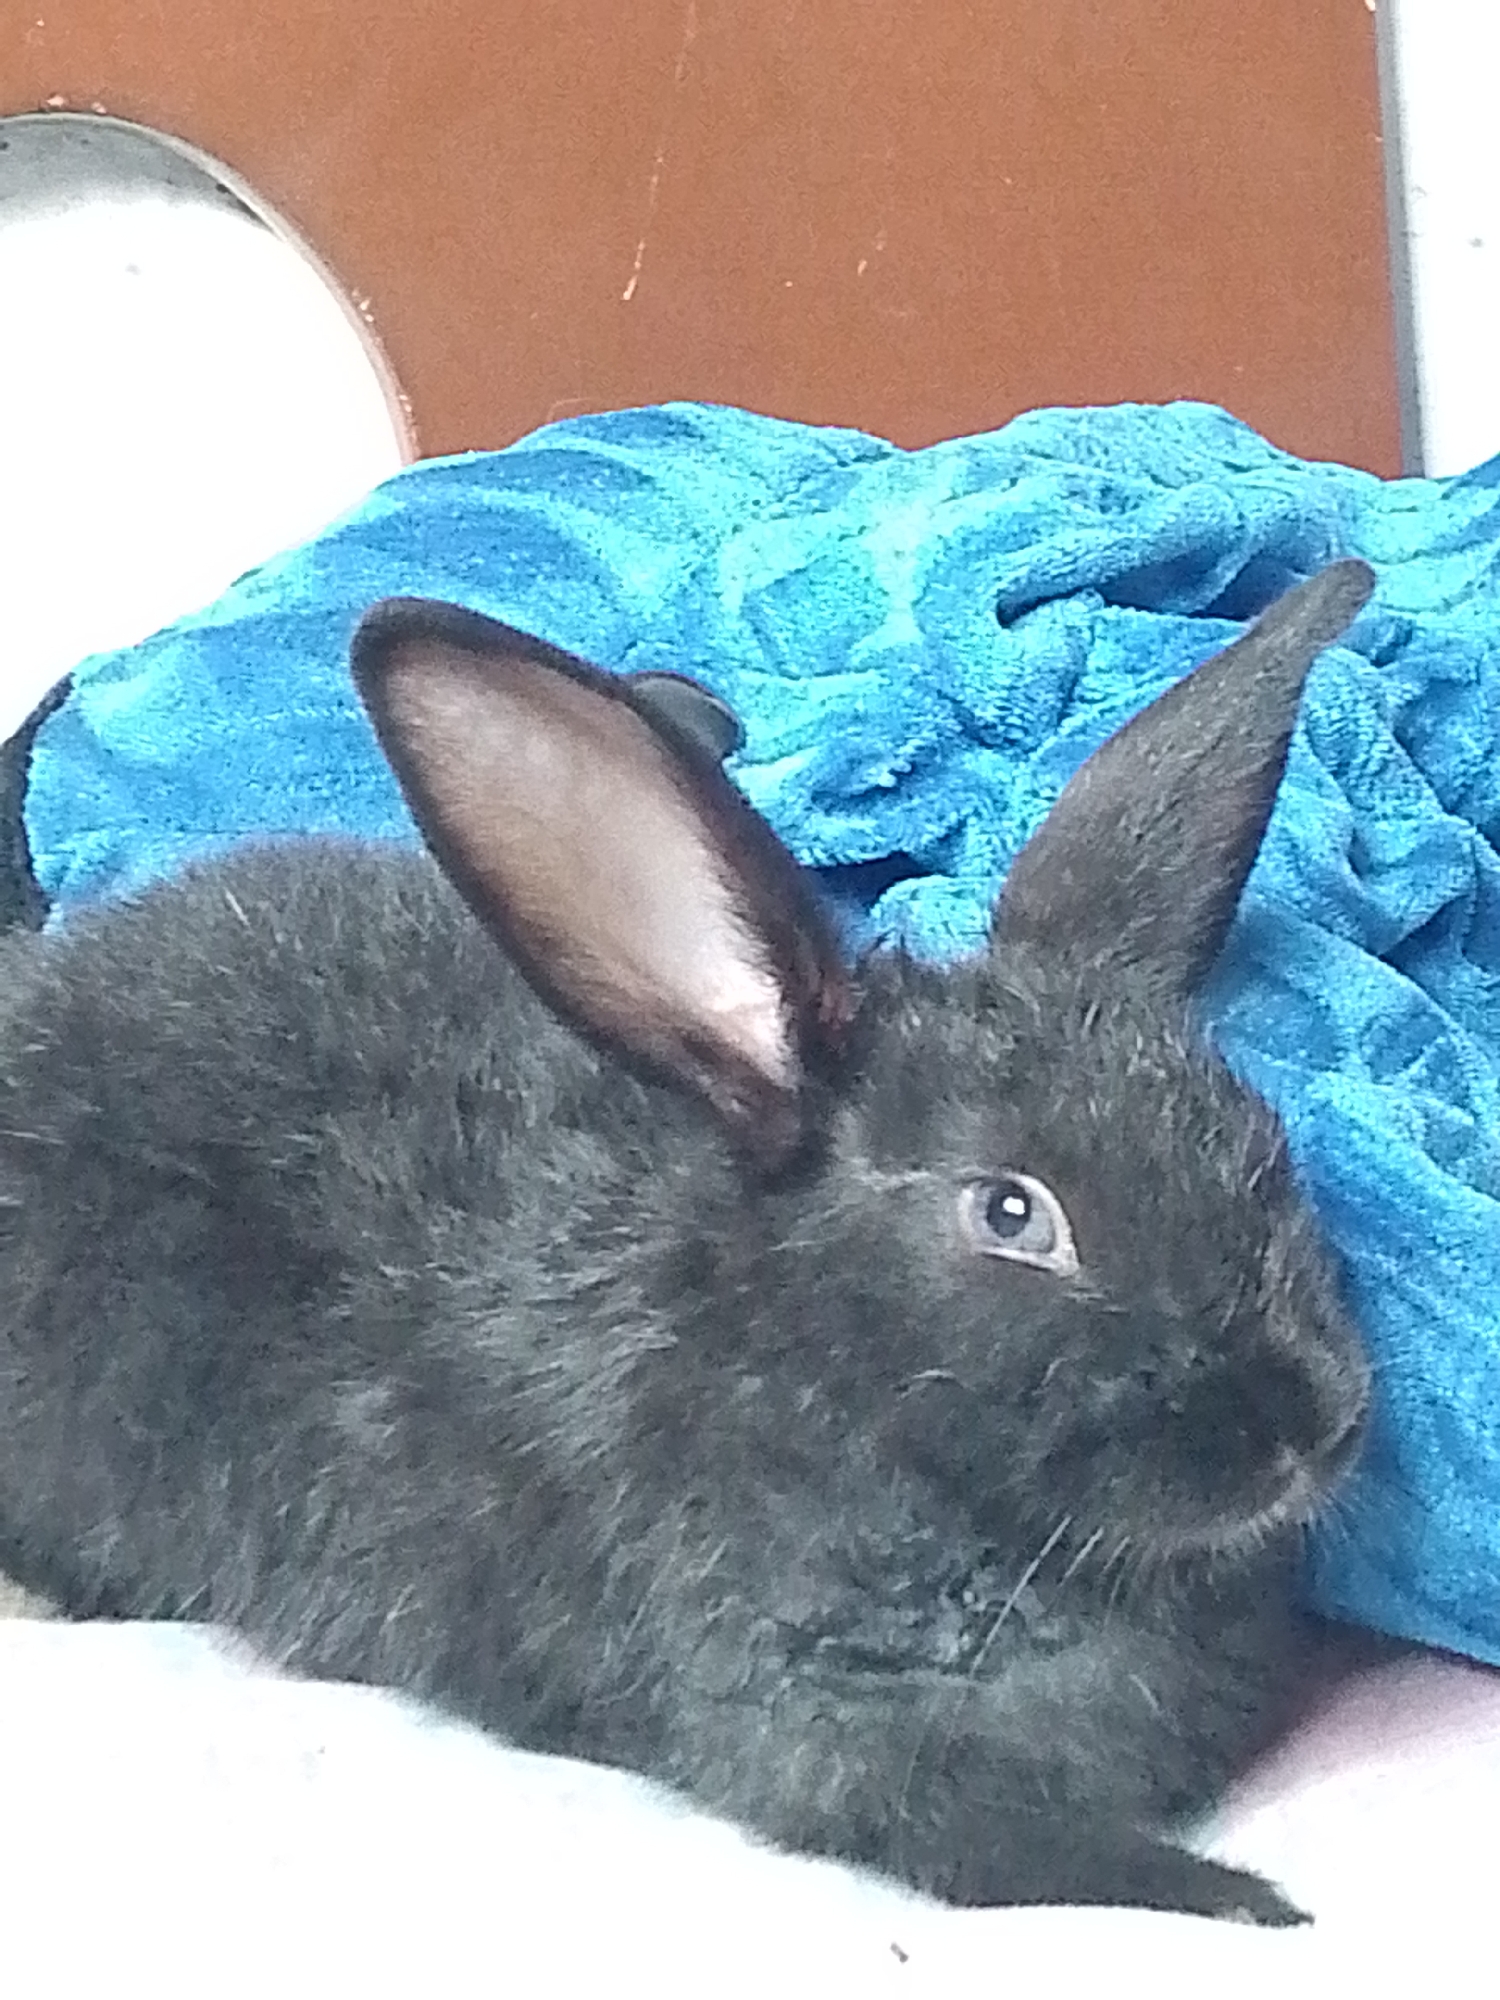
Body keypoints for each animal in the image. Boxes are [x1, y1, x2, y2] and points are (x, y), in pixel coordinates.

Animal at [0, 558, 1375, 1926]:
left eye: (1252, 1127)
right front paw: (1257, 1904)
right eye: (1010, 1211)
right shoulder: (833, 1744)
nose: (1318, 1420)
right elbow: (1028, 1855)